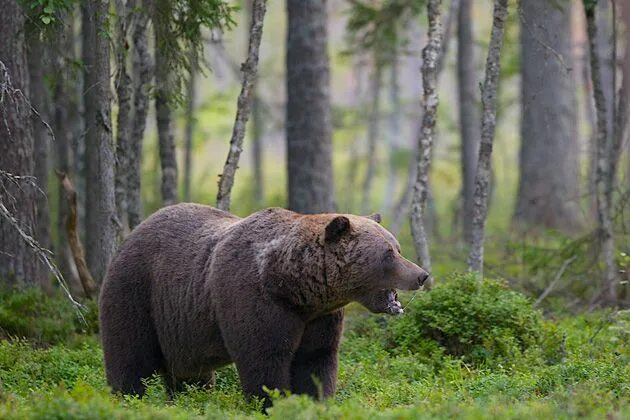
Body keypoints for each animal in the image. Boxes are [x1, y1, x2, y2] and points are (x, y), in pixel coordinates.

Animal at [100, 203, 434, 406]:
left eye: (398, 247)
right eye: (388, 253)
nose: (421, 274)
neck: (294, 286)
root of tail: (132, 233)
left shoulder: (318, 318)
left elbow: (317, 360)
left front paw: (316, 400)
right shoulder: (256, 300)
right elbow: (264, 359)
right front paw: (270, 401)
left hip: (182, 328)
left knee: (188, 373)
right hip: (137, 292)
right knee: (130, 355)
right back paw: (127, 398)